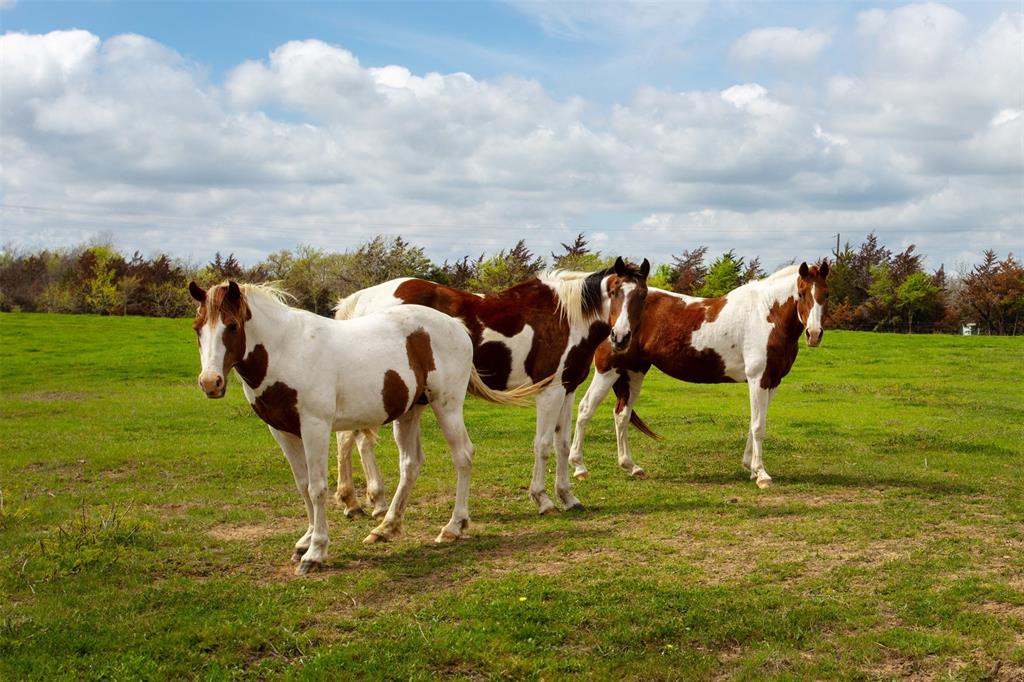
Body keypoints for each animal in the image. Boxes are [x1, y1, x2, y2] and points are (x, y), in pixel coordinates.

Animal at [191, 278, 544, 569]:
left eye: (231, 326)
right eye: (197, 328)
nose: (210, 383)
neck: (286, 350)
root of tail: (455, 325)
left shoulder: (315, 427)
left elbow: (318, 488)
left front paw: (316, 551)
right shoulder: (281, 431)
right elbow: (303, 486)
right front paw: (305, 540)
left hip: (448, 405)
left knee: (463, 456)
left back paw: (453, 527)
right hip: (410, 411)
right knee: (410, 464)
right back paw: (386, 528)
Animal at [329, 258, 647, 512]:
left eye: (642, 296)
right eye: (615, 291)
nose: (621, 337)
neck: (565, 316)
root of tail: (363, 298)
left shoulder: (567, 389)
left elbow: (563, 443)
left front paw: (567, 497)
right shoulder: (550, 391)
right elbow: (543, 444)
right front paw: (543, 499)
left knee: (349, 440)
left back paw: (358, 501)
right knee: (359, 441)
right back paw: (373, 501)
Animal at [569, 258, 831, 485]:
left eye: (826, 294)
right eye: (801, 294)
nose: (814, 334)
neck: (766, 314)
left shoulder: (773, 382)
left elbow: (755, 422)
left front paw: (750, 468)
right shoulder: (758, 379)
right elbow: (758, 426)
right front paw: (762, 475)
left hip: (633, 372)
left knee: (621, 415)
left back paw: (631, 466)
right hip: (608, 370)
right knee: (585, 409)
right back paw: (579, 467)